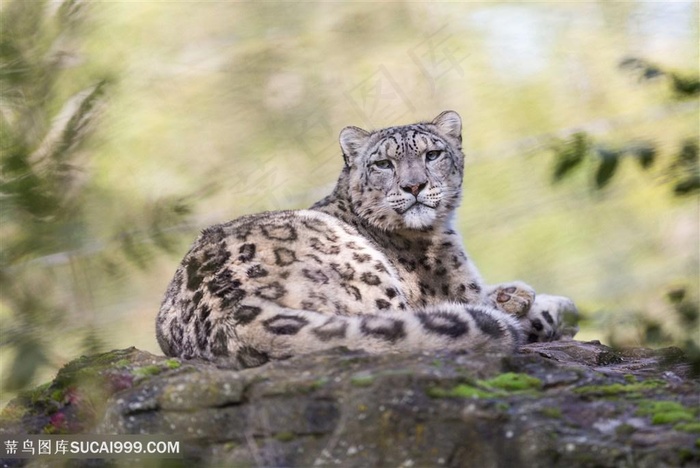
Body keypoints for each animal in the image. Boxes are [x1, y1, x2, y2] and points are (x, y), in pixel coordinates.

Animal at [156, 109, 576, 366]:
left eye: (433, 154)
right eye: (383, 163)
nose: (414, 186)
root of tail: (227, 306)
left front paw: (515, 293)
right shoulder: (460, 290)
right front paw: (540, 302)